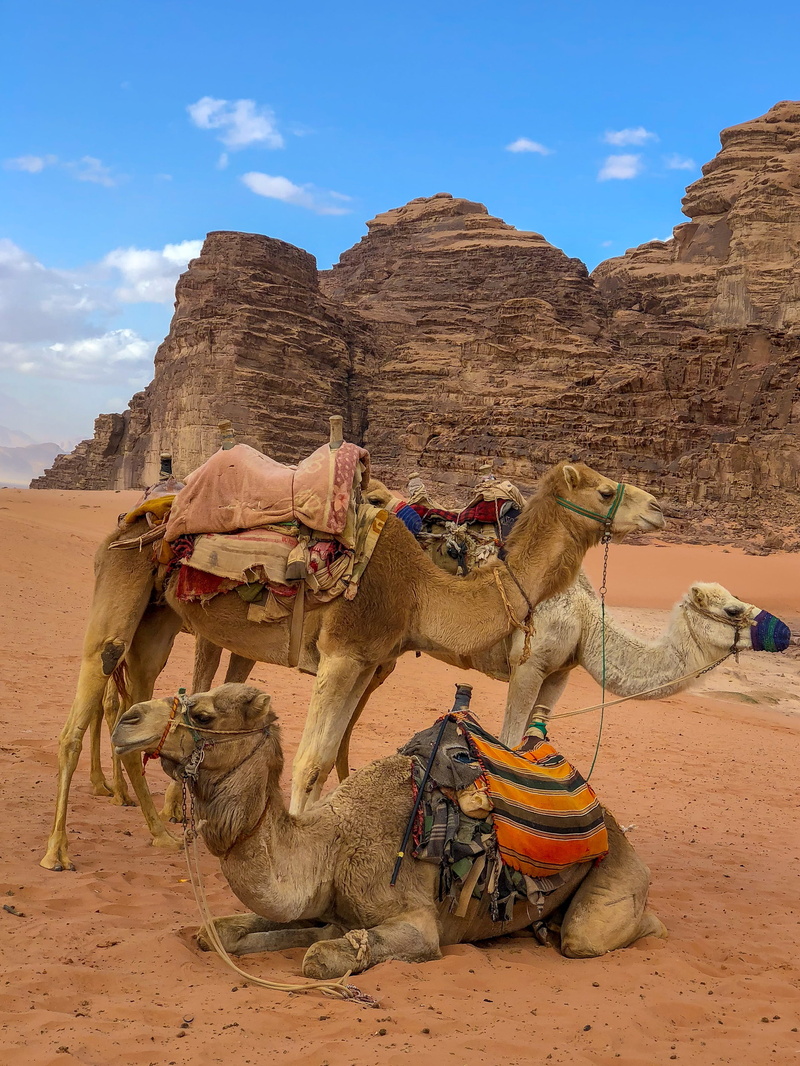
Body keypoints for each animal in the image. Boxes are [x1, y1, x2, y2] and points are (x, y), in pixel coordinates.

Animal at [41, 460, 663, 871]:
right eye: (606, 489)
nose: (658, 507)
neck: (417, 589)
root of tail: (137, 516)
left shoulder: (366, 661)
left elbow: (328, 756)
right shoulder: (343, 654)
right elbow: (310, 759)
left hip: (161, 619)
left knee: (134, 705)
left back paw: (158, 831)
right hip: (119, 593)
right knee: (82, 712)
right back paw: (58, 851)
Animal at [111, 683, 668, 976]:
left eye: (203, 713)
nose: (127, 720)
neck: (330, 847)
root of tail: (609, 818)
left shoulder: (415, 922)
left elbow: (319, 958)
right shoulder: (324, 904)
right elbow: (221, 931)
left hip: (615, 875)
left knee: (589, 935)